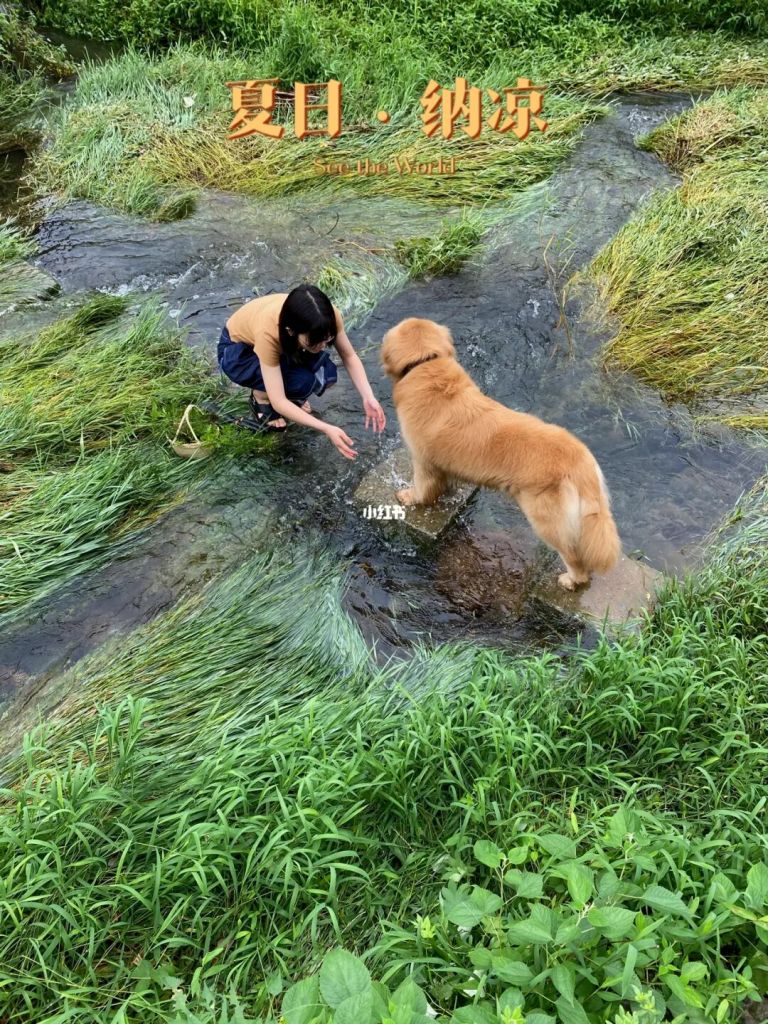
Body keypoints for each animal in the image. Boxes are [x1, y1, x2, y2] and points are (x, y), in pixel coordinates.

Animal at [382, 319, 622, 593]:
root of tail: (580, 460)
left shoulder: (423, 460)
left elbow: (422, 489)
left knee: (573, 558)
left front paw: (408, 497)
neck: (425, 364)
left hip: (546, 521)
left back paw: (570, 580)